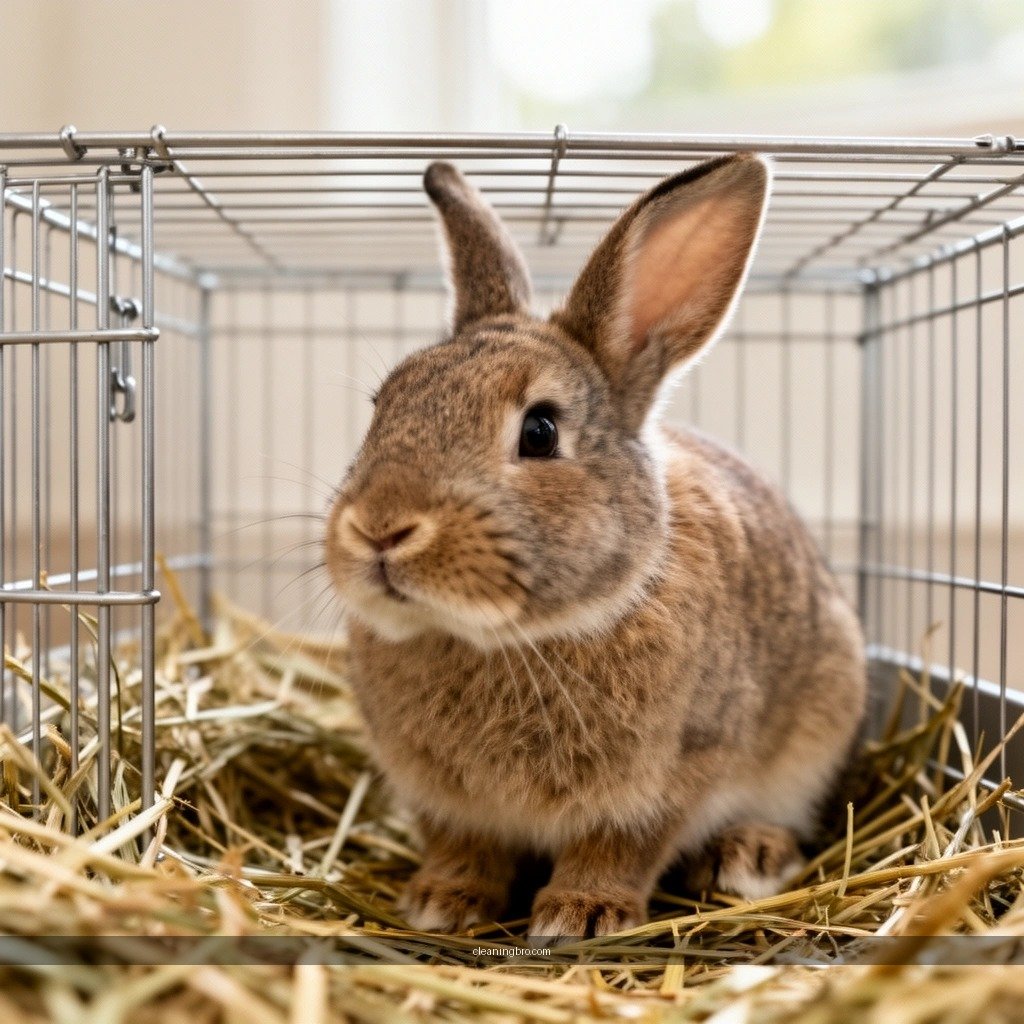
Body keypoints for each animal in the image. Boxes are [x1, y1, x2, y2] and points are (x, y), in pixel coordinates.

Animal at [324, 153, 867, 940]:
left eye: (540, 431)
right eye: (381, 407)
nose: (379, 527)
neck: (508, 640)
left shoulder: (668, 780)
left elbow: (620, 848)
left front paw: (580, 914)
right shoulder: (442, 802)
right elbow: (463, 847)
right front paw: (441, 901)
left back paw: (749, 856)